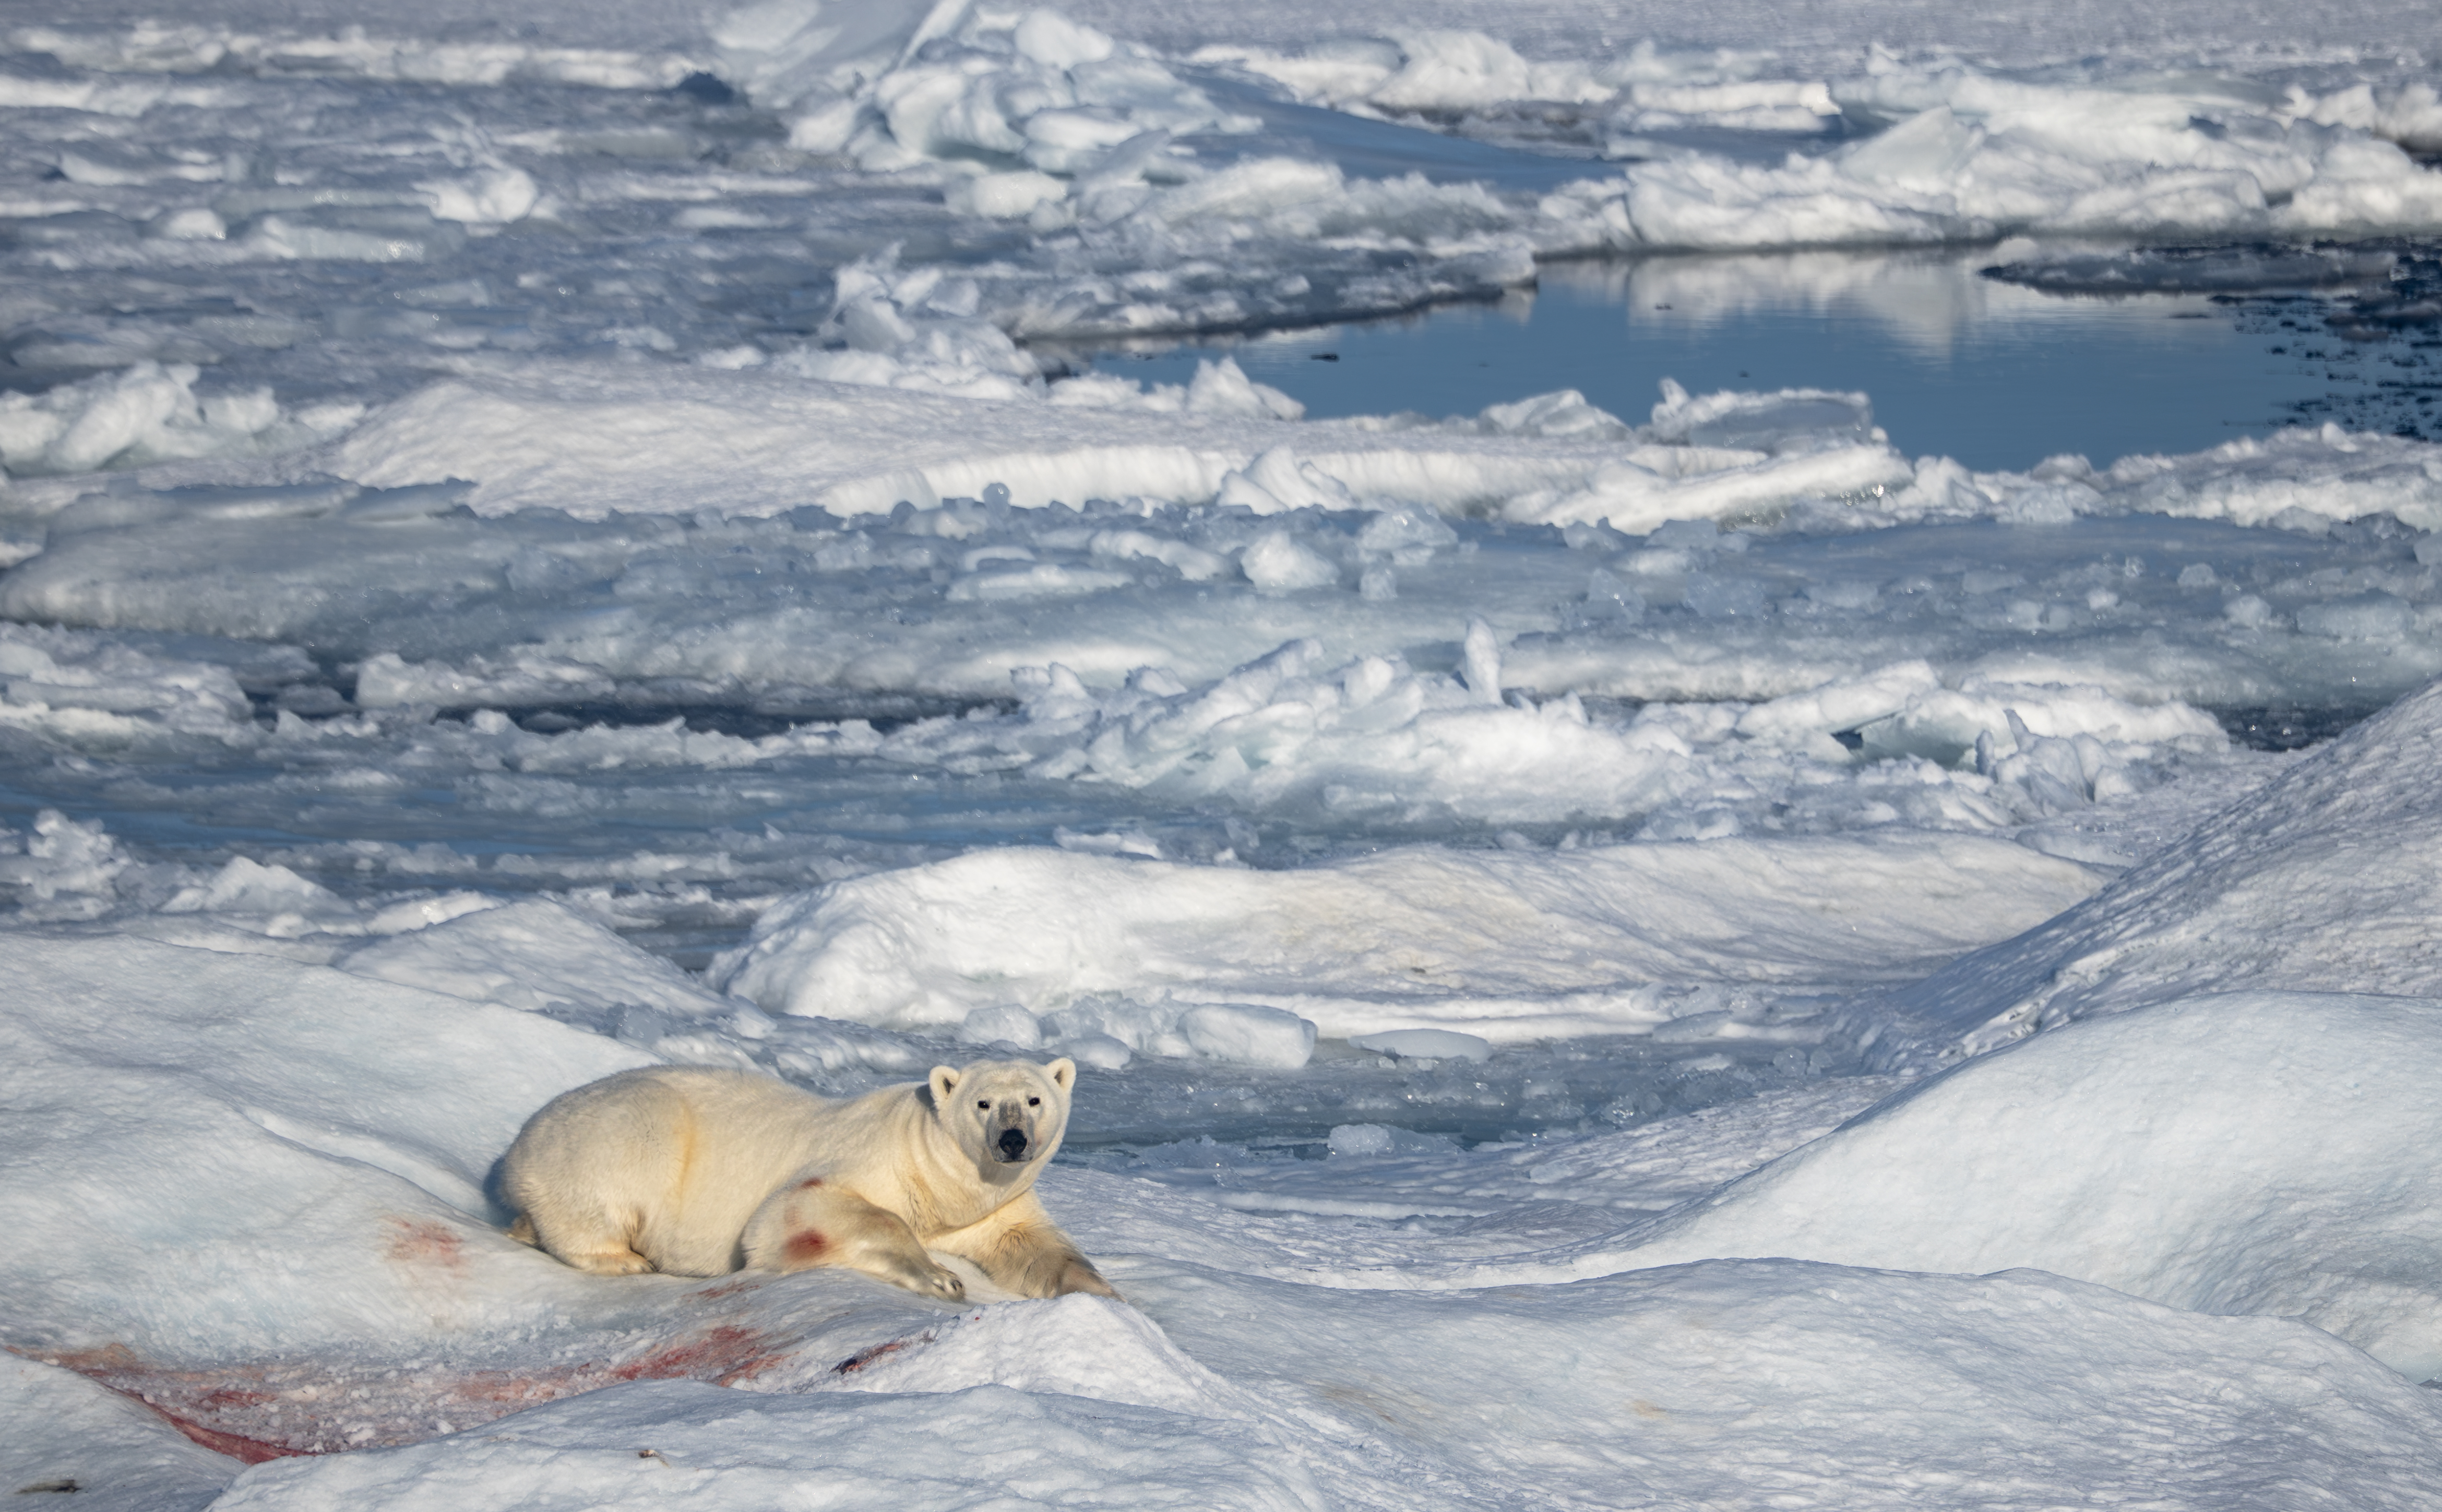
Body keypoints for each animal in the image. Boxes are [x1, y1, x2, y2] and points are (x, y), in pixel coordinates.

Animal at [497, 1056, 1116, 1302]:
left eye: (1034, 1099)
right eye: (983, 1103)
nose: (1011, 1140)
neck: (938, 1184)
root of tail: (520, 1147)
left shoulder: (990, 1208)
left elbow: (1031, 1246)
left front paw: (1103, 1291)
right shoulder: (864, 1159)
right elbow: (797, 1215)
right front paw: (941, 1278)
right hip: (621, 1131)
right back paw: (623, 1258)